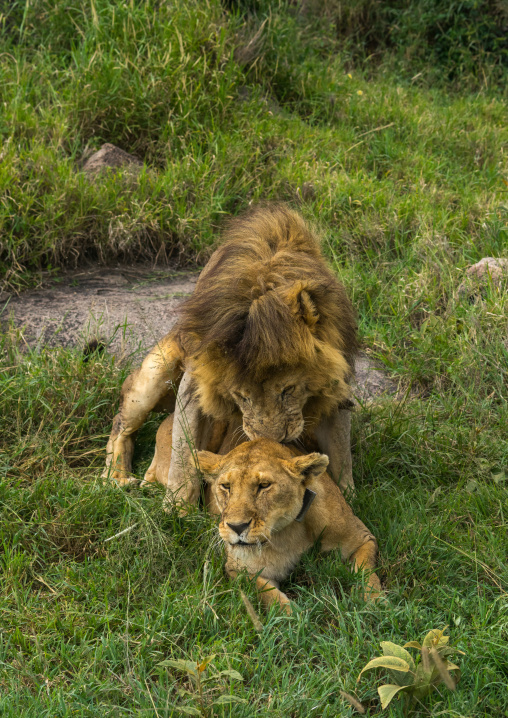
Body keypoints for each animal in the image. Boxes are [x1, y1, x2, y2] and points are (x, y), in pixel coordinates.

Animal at [103, 205, 358, 508]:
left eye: (288, 390)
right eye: (241, 397)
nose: (273, 443)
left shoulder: (337, 382)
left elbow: (340, 451)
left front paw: (346, 500)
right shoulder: (196, 383)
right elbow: (183, 453)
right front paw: (177, 511)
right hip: (155, 373)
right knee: (121, 424)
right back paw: (116, 478)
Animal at [144, 413, 381, 614]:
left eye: (264, 485)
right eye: (226, 486)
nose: (237, 527)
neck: (289, 532)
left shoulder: (362, 538)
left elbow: (366, 573)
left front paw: (375, 604)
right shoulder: (240, 570)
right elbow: (270, 596)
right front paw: (297, 620)